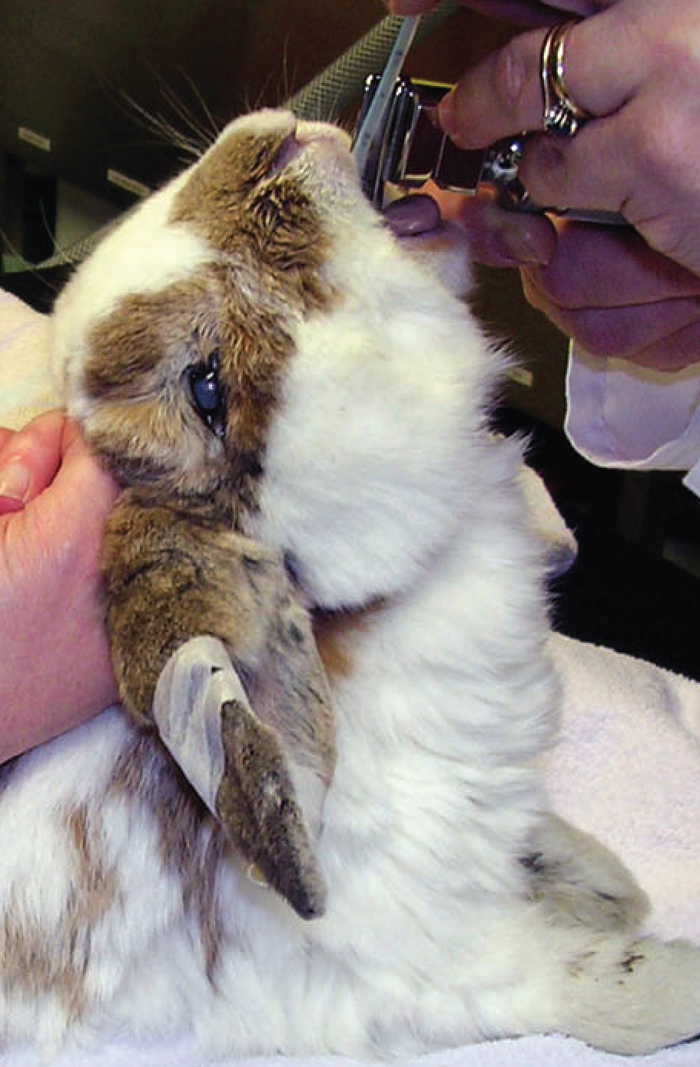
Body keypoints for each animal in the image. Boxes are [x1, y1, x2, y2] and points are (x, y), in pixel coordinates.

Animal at [1, 107, 699, 1060]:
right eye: (207, 388)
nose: (272, 149)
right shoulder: (422, 967)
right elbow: (570, 980)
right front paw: (670, 971)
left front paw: (602, 880)